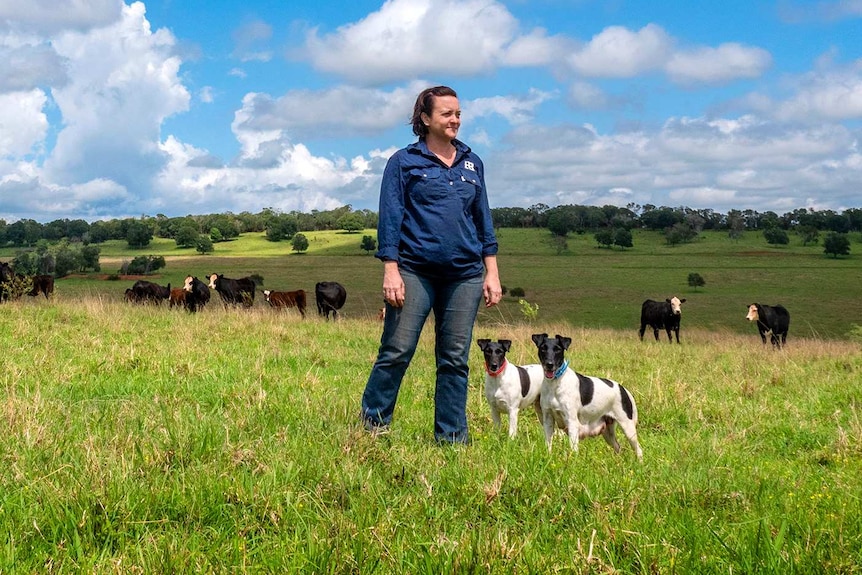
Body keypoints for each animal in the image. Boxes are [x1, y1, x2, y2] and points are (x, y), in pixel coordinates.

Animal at [528, 330, 644, 462]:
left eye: (558, 349)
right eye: (543, 348)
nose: (549, 364)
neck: (556, 383)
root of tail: (623, 389)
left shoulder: (572, 421)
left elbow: (573, 448)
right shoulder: (548, 419)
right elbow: (548, 444)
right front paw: (548, 457)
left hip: (628, 428)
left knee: (639, 450)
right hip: (608, 432)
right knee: (618, 448)